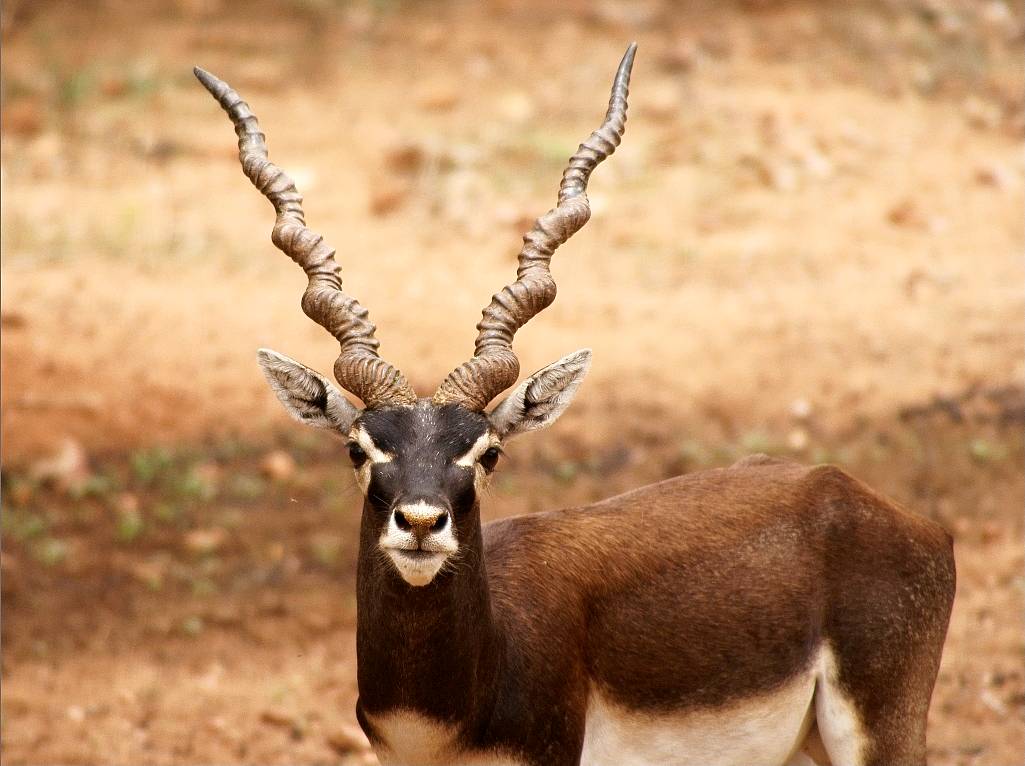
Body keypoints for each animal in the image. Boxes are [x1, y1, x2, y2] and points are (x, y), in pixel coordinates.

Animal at [195, 44, 955, 762]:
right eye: (359, 448)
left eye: (487, 453)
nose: (420, 523)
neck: (447, 714)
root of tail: (862, 499)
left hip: (879, 732)